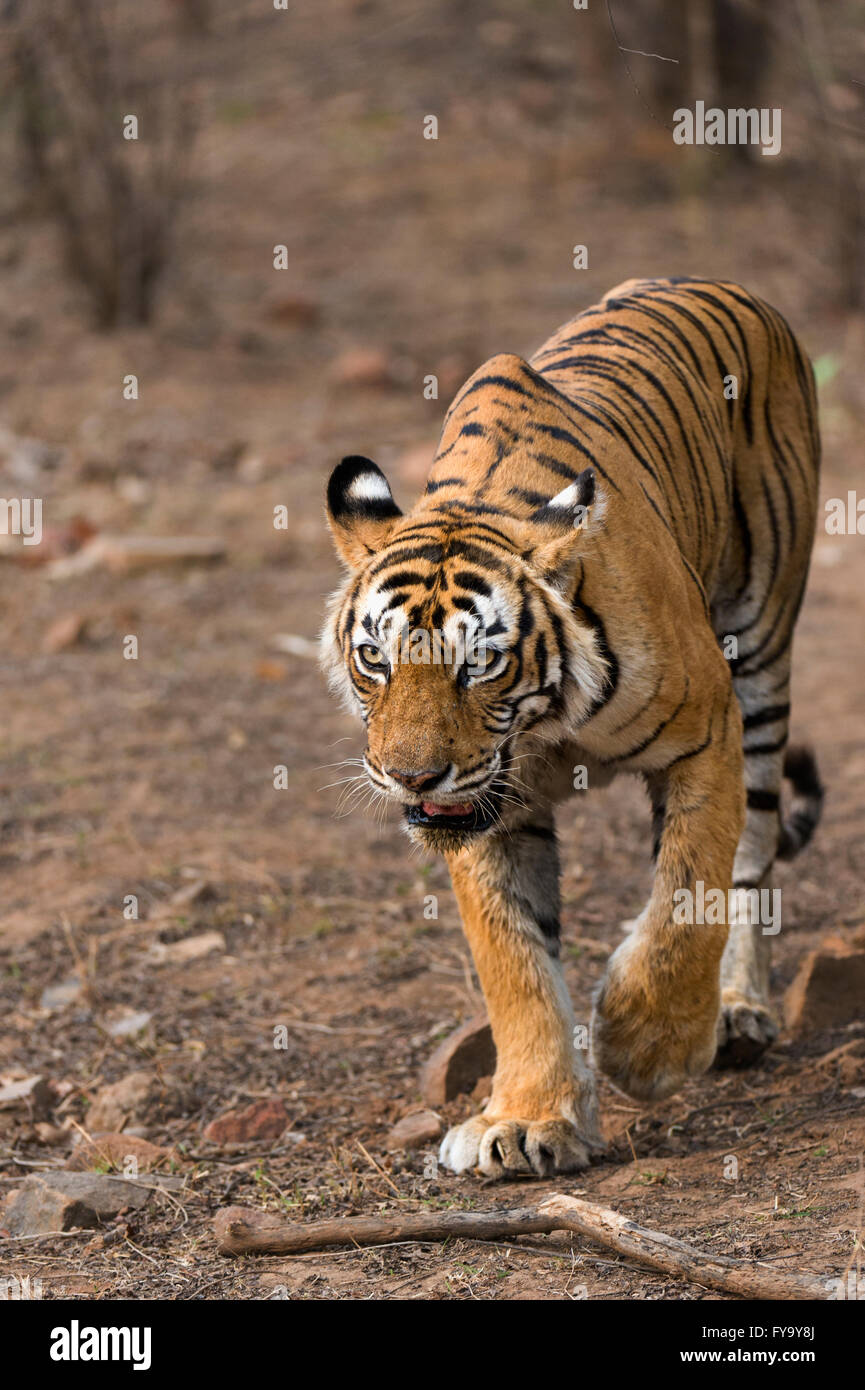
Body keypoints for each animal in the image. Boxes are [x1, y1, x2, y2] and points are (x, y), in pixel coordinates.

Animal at [319, 276, 828, 1178]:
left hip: (763, 656)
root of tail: (720, 285)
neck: (544, 726)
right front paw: (526, 1120)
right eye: (374, 657)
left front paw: (646, 1047)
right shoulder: (489, 814)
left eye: (478, 664)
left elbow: (688, 899)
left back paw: (735, 1010)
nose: (411, 777)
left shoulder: (707, 735)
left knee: (751, 859)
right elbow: (515, 965)